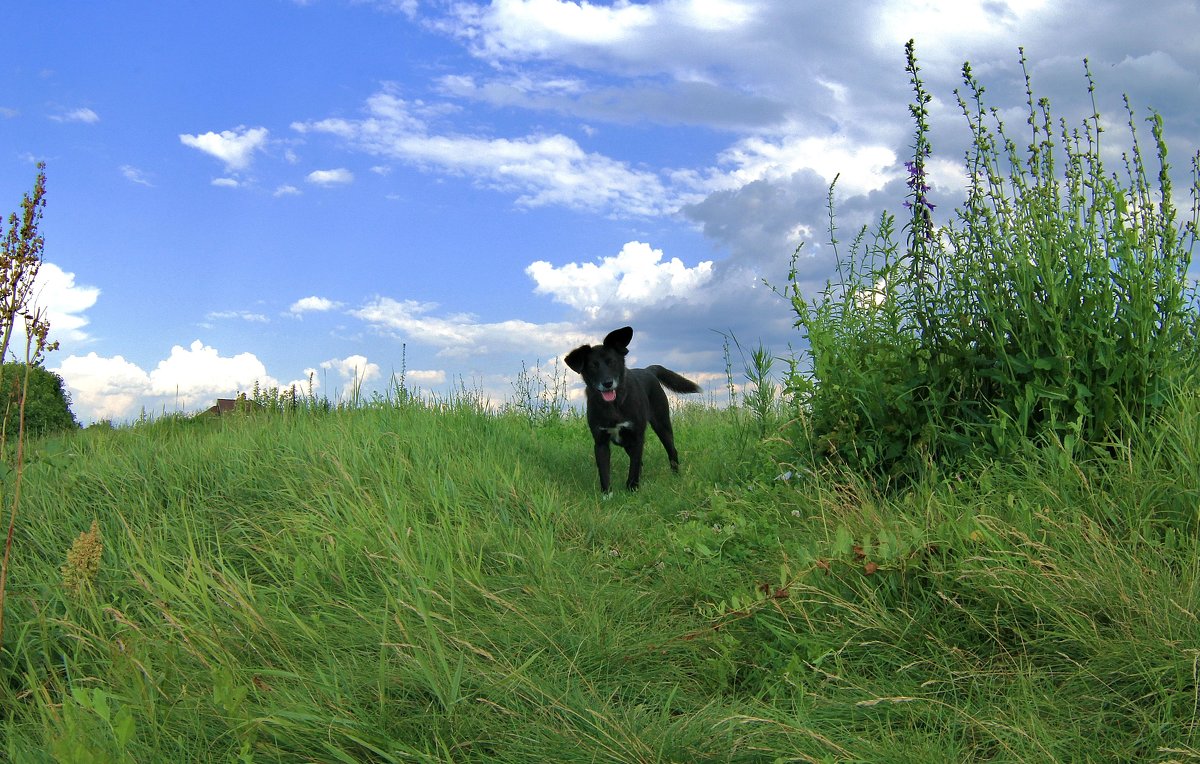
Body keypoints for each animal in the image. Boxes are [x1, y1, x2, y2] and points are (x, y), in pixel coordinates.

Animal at [564, 323, 700, 491]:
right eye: (593, 366)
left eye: (612, 362)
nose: (607, 383)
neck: (614, 405)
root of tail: (648, 370)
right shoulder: (600, 441)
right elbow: (604, 471)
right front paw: (606, 493)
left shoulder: (637, 437)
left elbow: (634, 466)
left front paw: (632, 488)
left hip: (662, 425)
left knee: (671, 451)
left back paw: (676, 476)